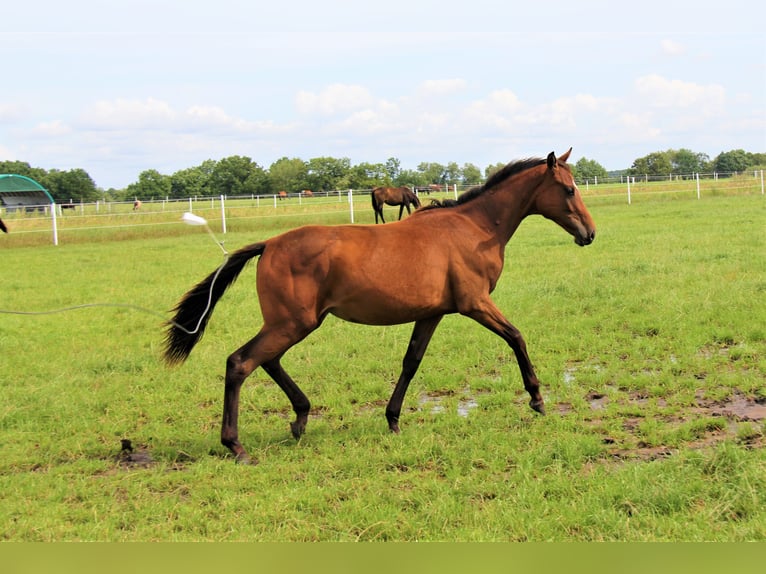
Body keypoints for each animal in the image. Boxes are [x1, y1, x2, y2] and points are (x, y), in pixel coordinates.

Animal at [166, 148, 600, 464]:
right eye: (568, 189)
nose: (590, 233)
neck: (474, 228)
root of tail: (269, 244)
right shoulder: (475, 303)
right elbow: (516, 337)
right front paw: (537, 399)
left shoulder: (432, 313)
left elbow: (411, 361)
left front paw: (392, 419)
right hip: (292, 323)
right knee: (241, 362)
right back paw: (236, 445)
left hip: (291, 323)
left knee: (266, 361)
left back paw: (300, 418)